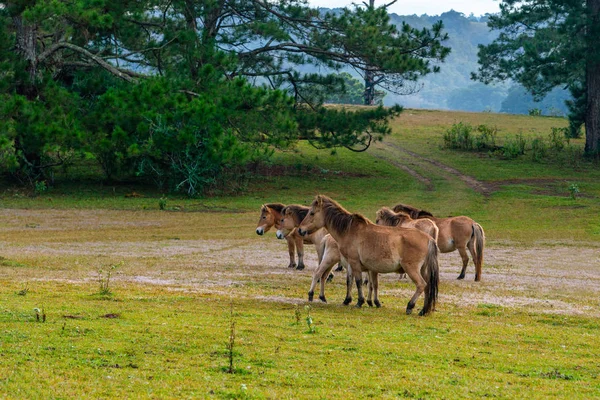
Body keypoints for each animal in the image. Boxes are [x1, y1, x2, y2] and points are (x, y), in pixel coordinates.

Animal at [298, 195, 438, 316]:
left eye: (312, 213)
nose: (300, 230)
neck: (349, 230)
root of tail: (429, 238)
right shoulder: (366, 268)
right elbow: (367, 283)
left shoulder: (354, 263)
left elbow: (358, 282)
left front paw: (360, 301)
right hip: (423, 270)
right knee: (427, 287)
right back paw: (423, 310)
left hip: (412, 269)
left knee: (421, 285)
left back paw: (410, 306)